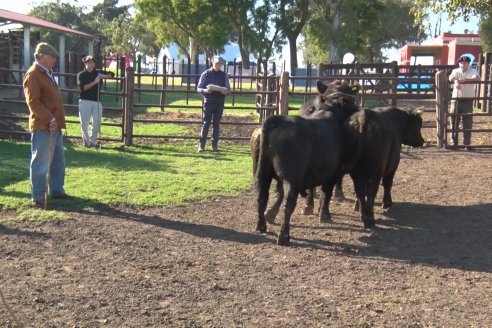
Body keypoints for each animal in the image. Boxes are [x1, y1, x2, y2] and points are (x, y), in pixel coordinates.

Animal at [252, 80, 360, 245]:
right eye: (351, 101)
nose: (359, 108)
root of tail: (277, 120)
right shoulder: (333, 172)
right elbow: (326, 193)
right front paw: (325, 215)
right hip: (292, 178)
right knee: (288, 203)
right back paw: (284, 236)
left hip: (263, 172)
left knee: (261, 196)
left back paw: (261, 225)